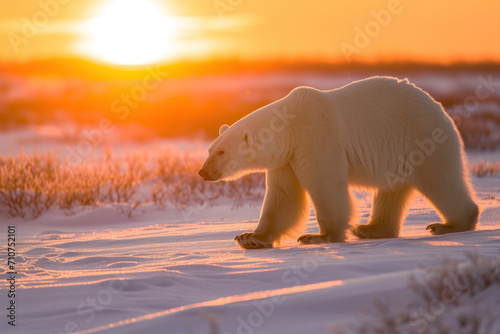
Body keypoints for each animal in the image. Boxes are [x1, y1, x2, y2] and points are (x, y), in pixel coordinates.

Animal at [197, 75, 478, 248]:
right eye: (210, 149)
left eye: (221, 152)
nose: (203, 172)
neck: (290, 125)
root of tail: (441, 109)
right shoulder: (286, 158)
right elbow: (283, 196)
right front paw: (250, 237)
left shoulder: (315, 136)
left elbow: (324, 184)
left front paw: (318, 236)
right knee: (391, 191)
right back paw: (370, 229)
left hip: (423, 138)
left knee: (441, 181)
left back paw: (449, 225)